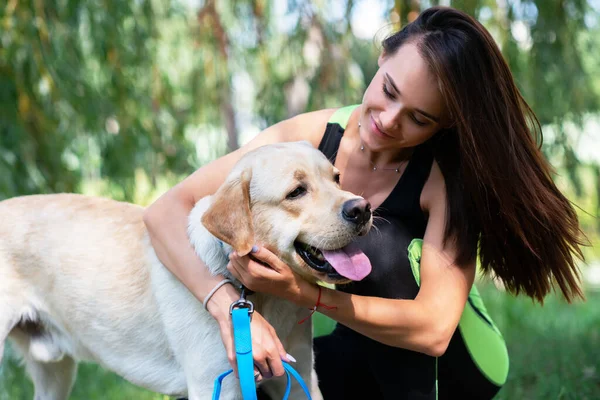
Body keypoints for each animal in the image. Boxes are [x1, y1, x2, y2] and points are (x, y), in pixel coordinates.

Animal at [0, 142, 372, 398]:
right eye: (296, 191)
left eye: (337, 178)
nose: (362, 208)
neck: (256, 297)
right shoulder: (215, 384)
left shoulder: (300, 377)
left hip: (55, 373)